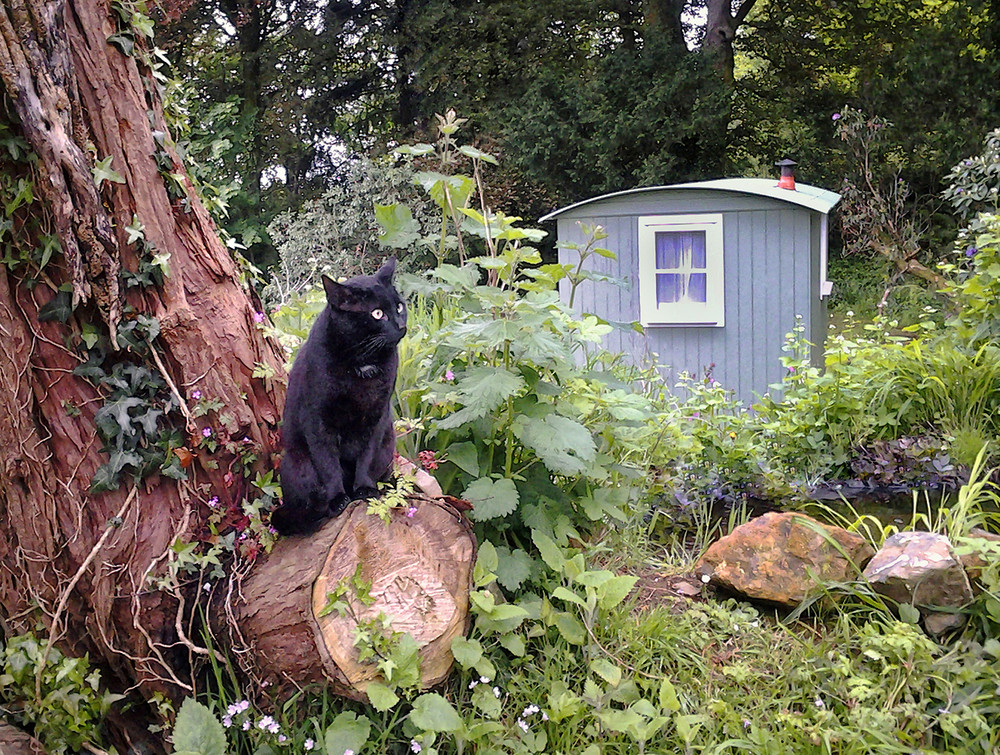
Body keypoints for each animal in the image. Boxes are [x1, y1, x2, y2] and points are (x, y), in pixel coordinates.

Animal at [272, 260, 408, 536]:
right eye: (377, 314)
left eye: (399, 306)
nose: (401, 325)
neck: (362, 362)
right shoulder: (317, 419)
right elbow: (328, 463)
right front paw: (337, 499)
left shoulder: (377, 416)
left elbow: (366, 456)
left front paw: (365, 489)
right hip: (298, 464)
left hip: (387, 447)